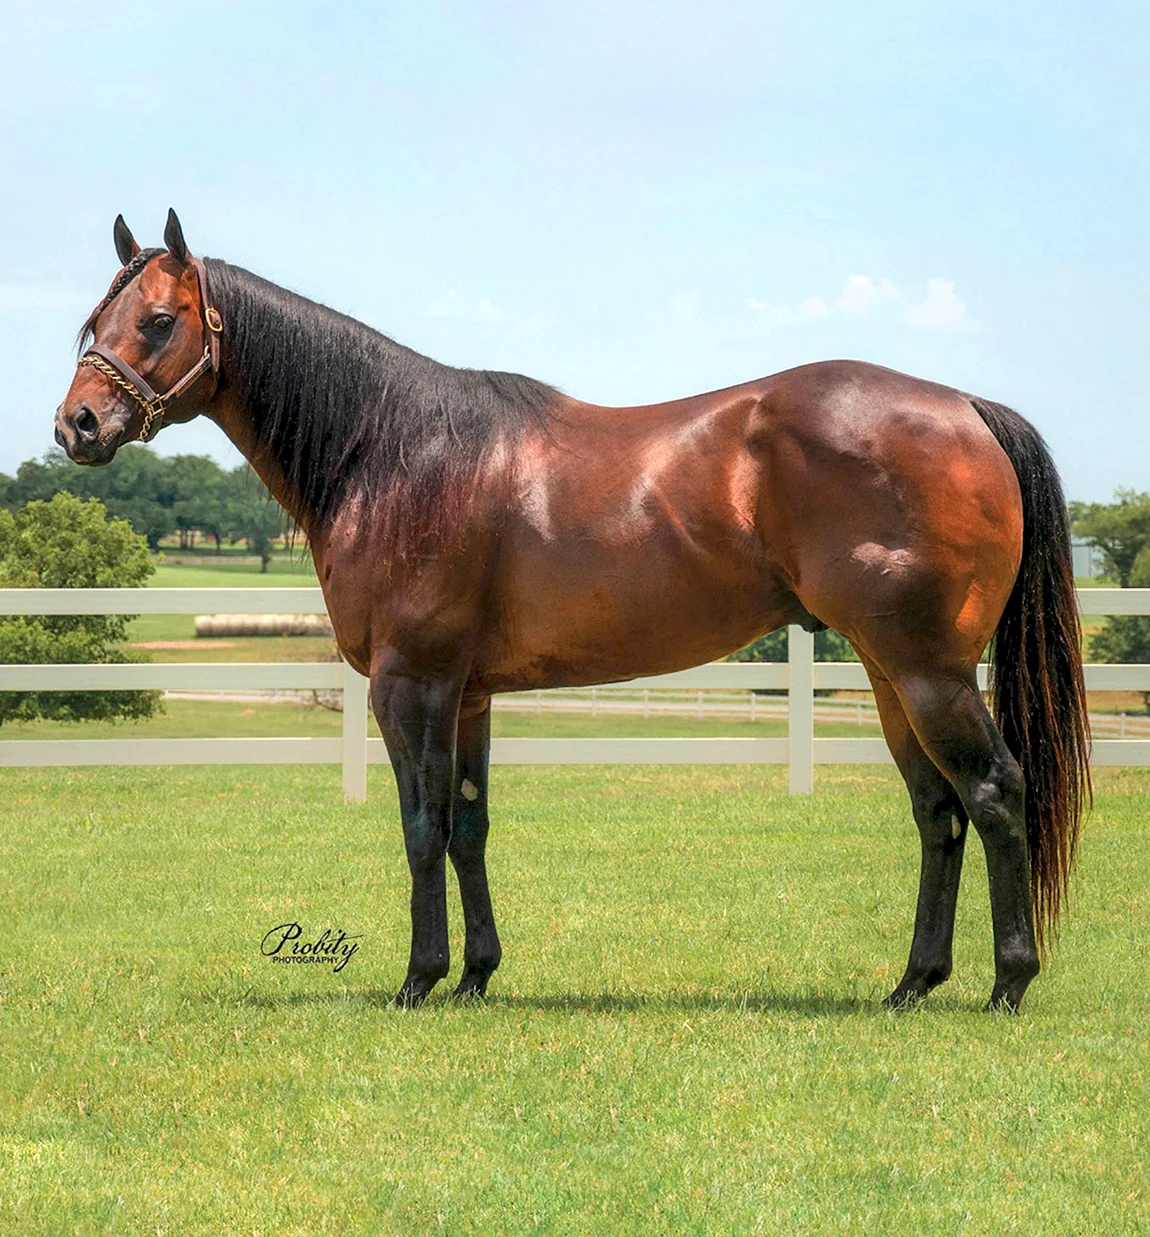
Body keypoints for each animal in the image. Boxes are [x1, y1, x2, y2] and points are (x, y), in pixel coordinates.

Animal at [55, 210, 1090, 1013]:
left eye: (157, 320)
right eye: (92, 321)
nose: (76, 425)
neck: (393, 451)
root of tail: (965, 407)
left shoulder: (411, 683)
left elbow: (421, 824)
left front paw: (419, 979)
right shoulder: (468, 694)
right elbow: (469, 827)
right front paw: (477, 974)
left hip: (930, 671)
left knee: (994, 792)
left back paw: (1007, 982)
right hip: (888, 673)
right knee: (936, 810)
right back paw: (912, 983)